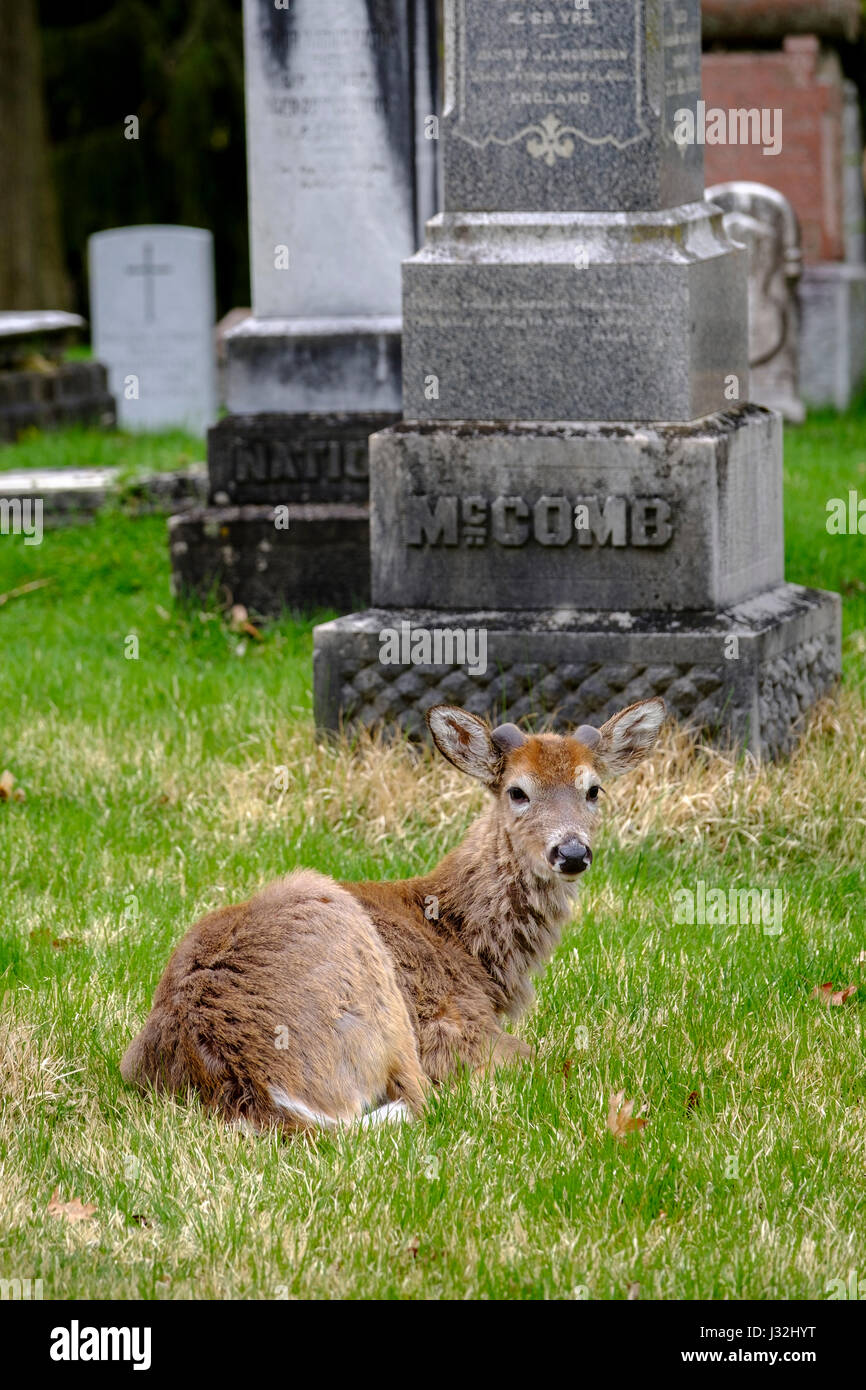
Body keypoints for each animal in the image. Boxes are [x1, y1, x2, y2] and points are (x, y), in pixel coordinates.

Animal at [120, 697, 666, 1133]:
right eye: (517, 790)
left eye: (593, 790)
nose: (571, 852)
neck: (465, 943)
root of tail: (256, 1085)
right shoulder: (450, 1024)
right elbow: (552, 1060)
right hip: (362, 966)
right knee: (420, 1098)